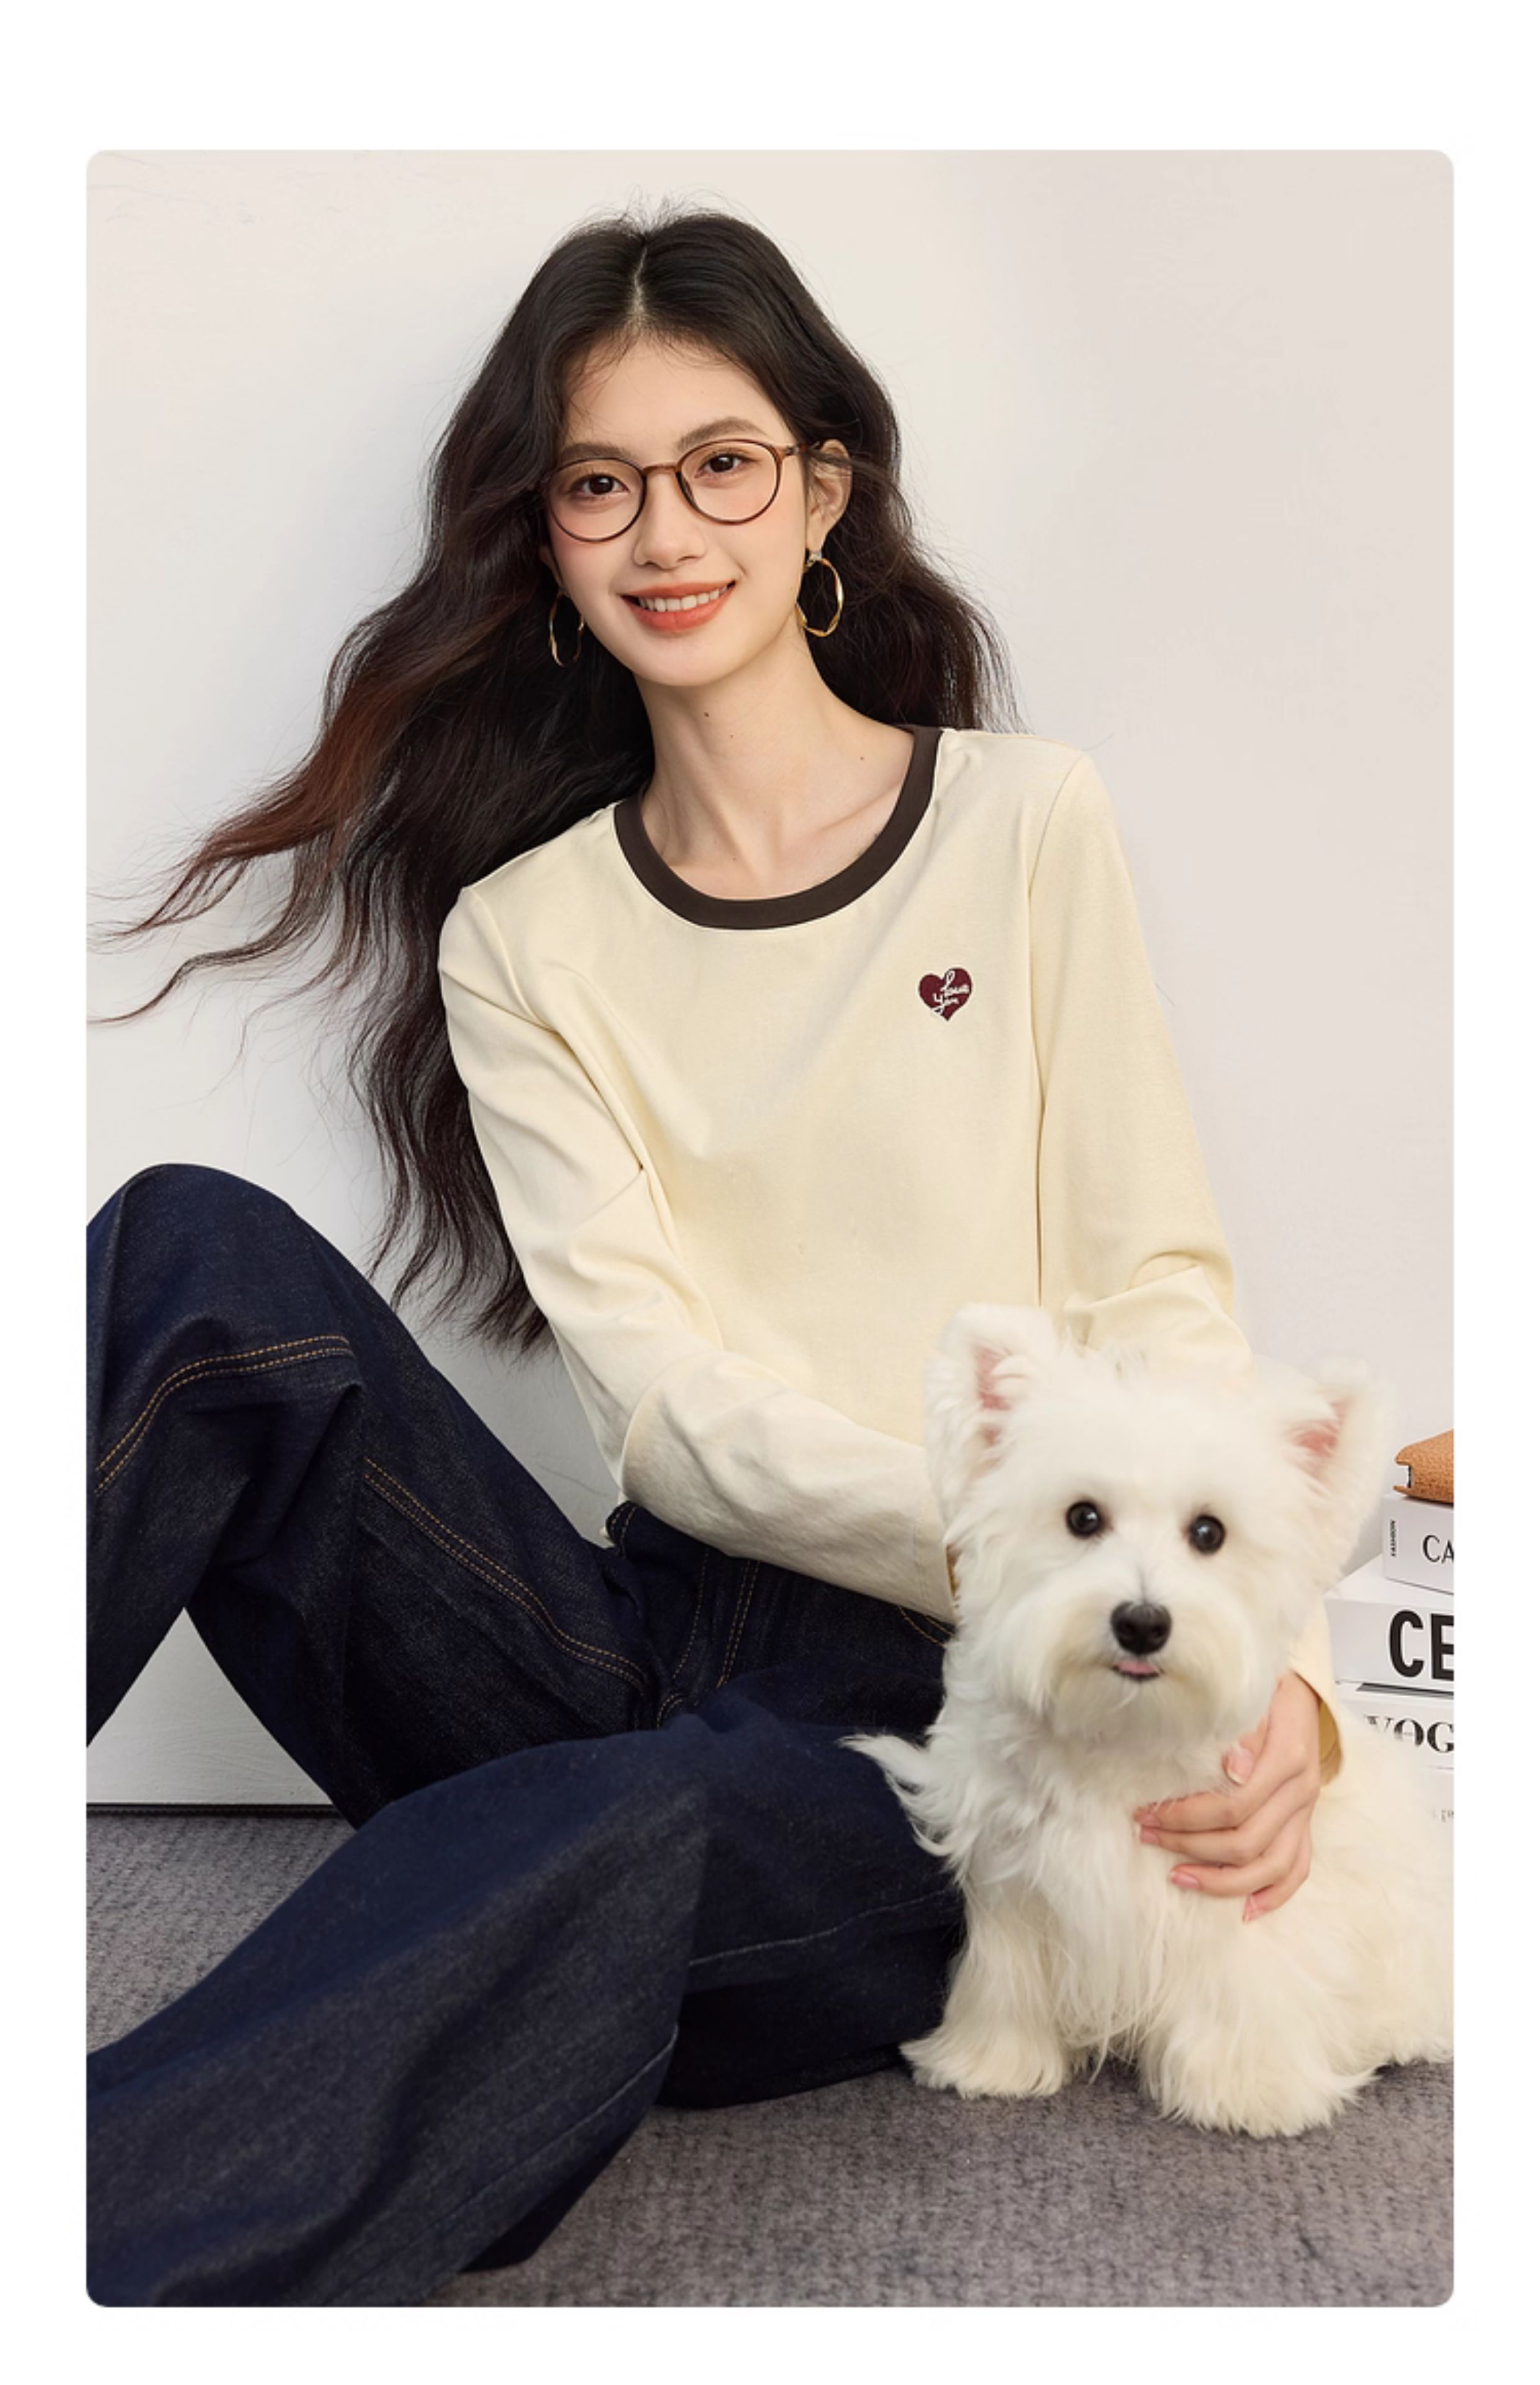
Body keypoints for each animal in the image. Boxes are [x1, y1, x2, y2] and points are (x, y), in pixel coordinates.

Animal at [843, 1304, 1453, 2138]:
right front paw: (991, 2061)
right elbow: (1003, 1977)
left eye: (1208, 1533)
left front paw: (1250, 2089)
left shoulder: (1241, 1879)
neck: (1122, 1732)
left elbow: (1246, 1980)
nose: (1140, 1622)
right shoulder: (1013, 1875)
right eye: (1081, 1518)